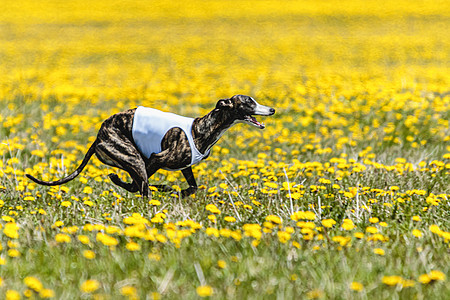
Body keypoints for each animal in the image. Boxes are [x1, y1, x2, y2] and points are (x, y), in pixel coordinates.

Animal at [28, 95, 276, 198]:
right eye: (249, 102)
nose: (272, 109)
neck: (201, 128)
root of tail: (98, 137)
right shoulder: (157, 157)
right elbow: (144, 184)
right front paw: (171, 191)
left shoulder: (185, 166)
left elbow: (193, 187)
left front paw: (179, 192)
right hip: (133, 157)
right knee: (139, 186)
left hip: (130, 160)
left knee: (136, 184)